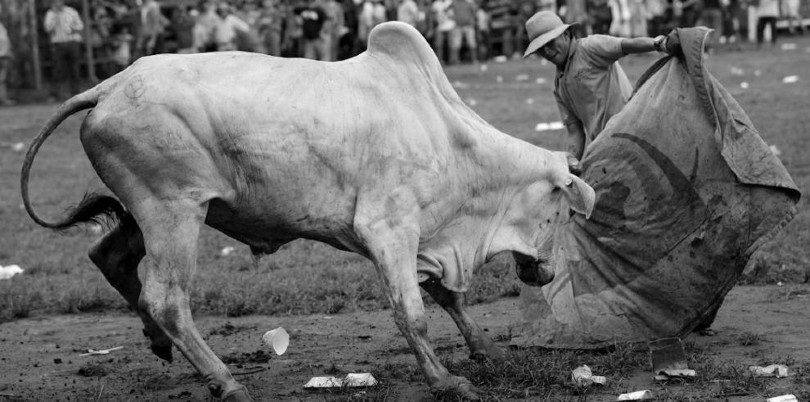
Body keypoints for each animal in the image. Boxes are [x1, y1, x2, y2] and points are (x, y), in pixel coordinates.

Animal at [20, 22, 592, 402]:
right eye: (564, 212)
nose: (544, 272)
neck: (452, 138)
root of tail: (108, 86)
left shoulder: (422, 239)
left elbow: (446, 297)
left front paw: (485, 351)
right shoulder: (390, 229)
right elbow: (412, 312)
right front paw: (447, 382)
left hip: (165, 212)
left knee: (109, 256)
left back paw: (160, 345)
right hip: (172, 211)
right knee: (166, 299)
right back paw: (226, 383)